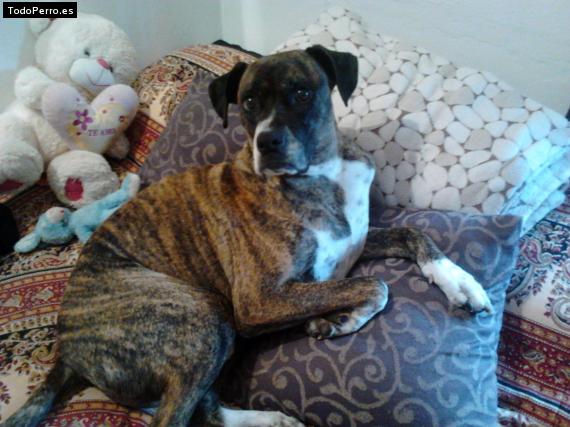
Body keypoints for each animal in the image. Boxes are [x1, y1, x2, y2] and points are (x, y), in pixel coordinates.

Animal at [3, 45, 492, 427]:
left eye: (302, 92)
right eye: (249, 101)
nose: (268, 142)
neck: (323, 174)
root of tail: (65, 346)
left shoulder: (352, 244)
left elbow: (412, 235)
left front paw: (459, 281)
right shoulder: (260, 298)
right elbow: (376, 285)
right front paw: (343, 319)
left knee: (202, 408)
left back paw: (271, 417)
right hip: (202, 312)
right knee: (176, 414)